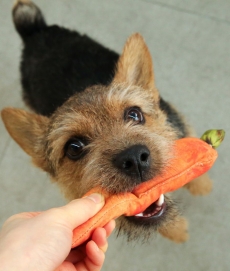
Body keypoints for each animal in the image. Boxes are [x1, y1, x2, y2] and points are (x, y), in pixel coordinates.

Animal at [0, 0, 212, 242]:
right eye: (74, 147)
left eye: (134, 114)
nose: (134, 158)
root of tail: (35, 30)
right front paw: (177, 230)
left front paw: (201, 183)